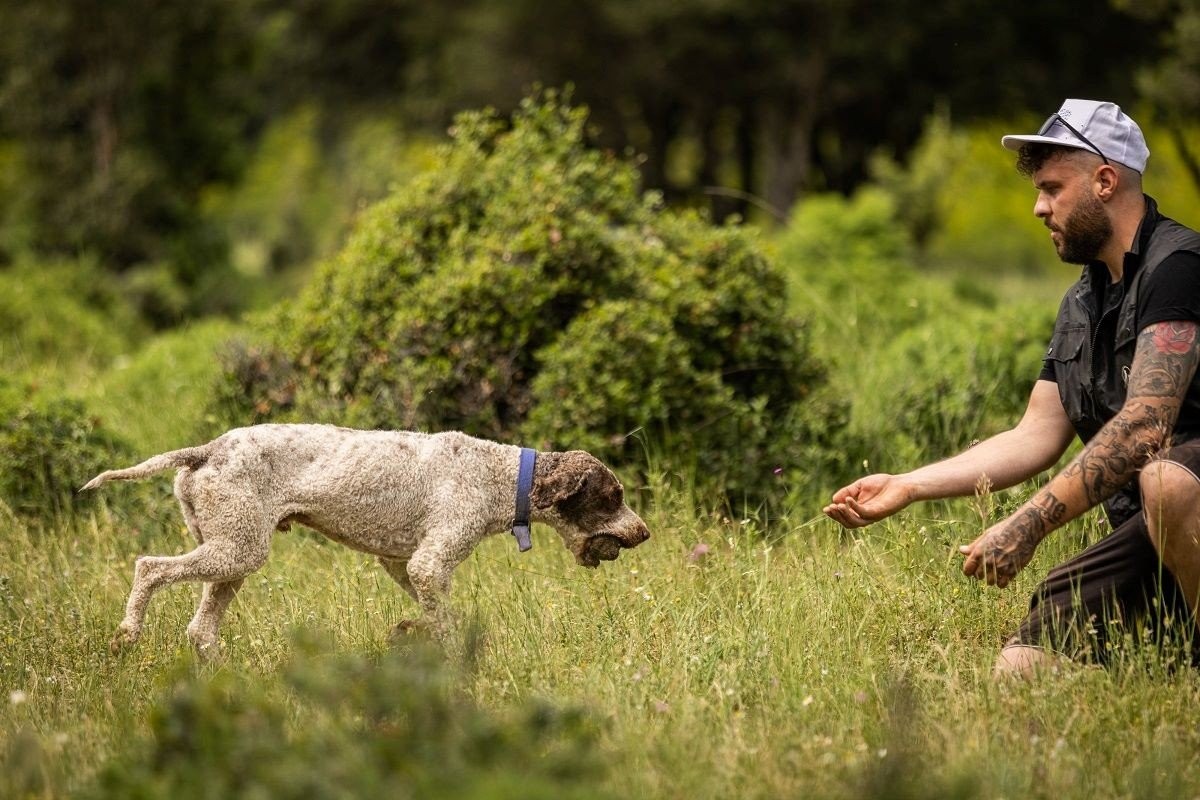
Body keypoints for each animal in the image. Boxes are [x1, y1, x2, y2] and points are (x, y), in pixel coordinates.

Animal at [81, 424, 652, 657]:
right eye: (614, 496)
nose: (645, 532)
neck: (503, 475)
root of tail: (206, 450)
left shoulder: (400, 563)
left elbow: (431, 609)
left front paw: (410, 630)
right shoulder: (429, 562)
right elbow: (443, 620)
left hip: (233, 555)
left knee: (200, 630)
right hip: (236, 549)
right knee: (149, 567)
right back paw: (127, 633)